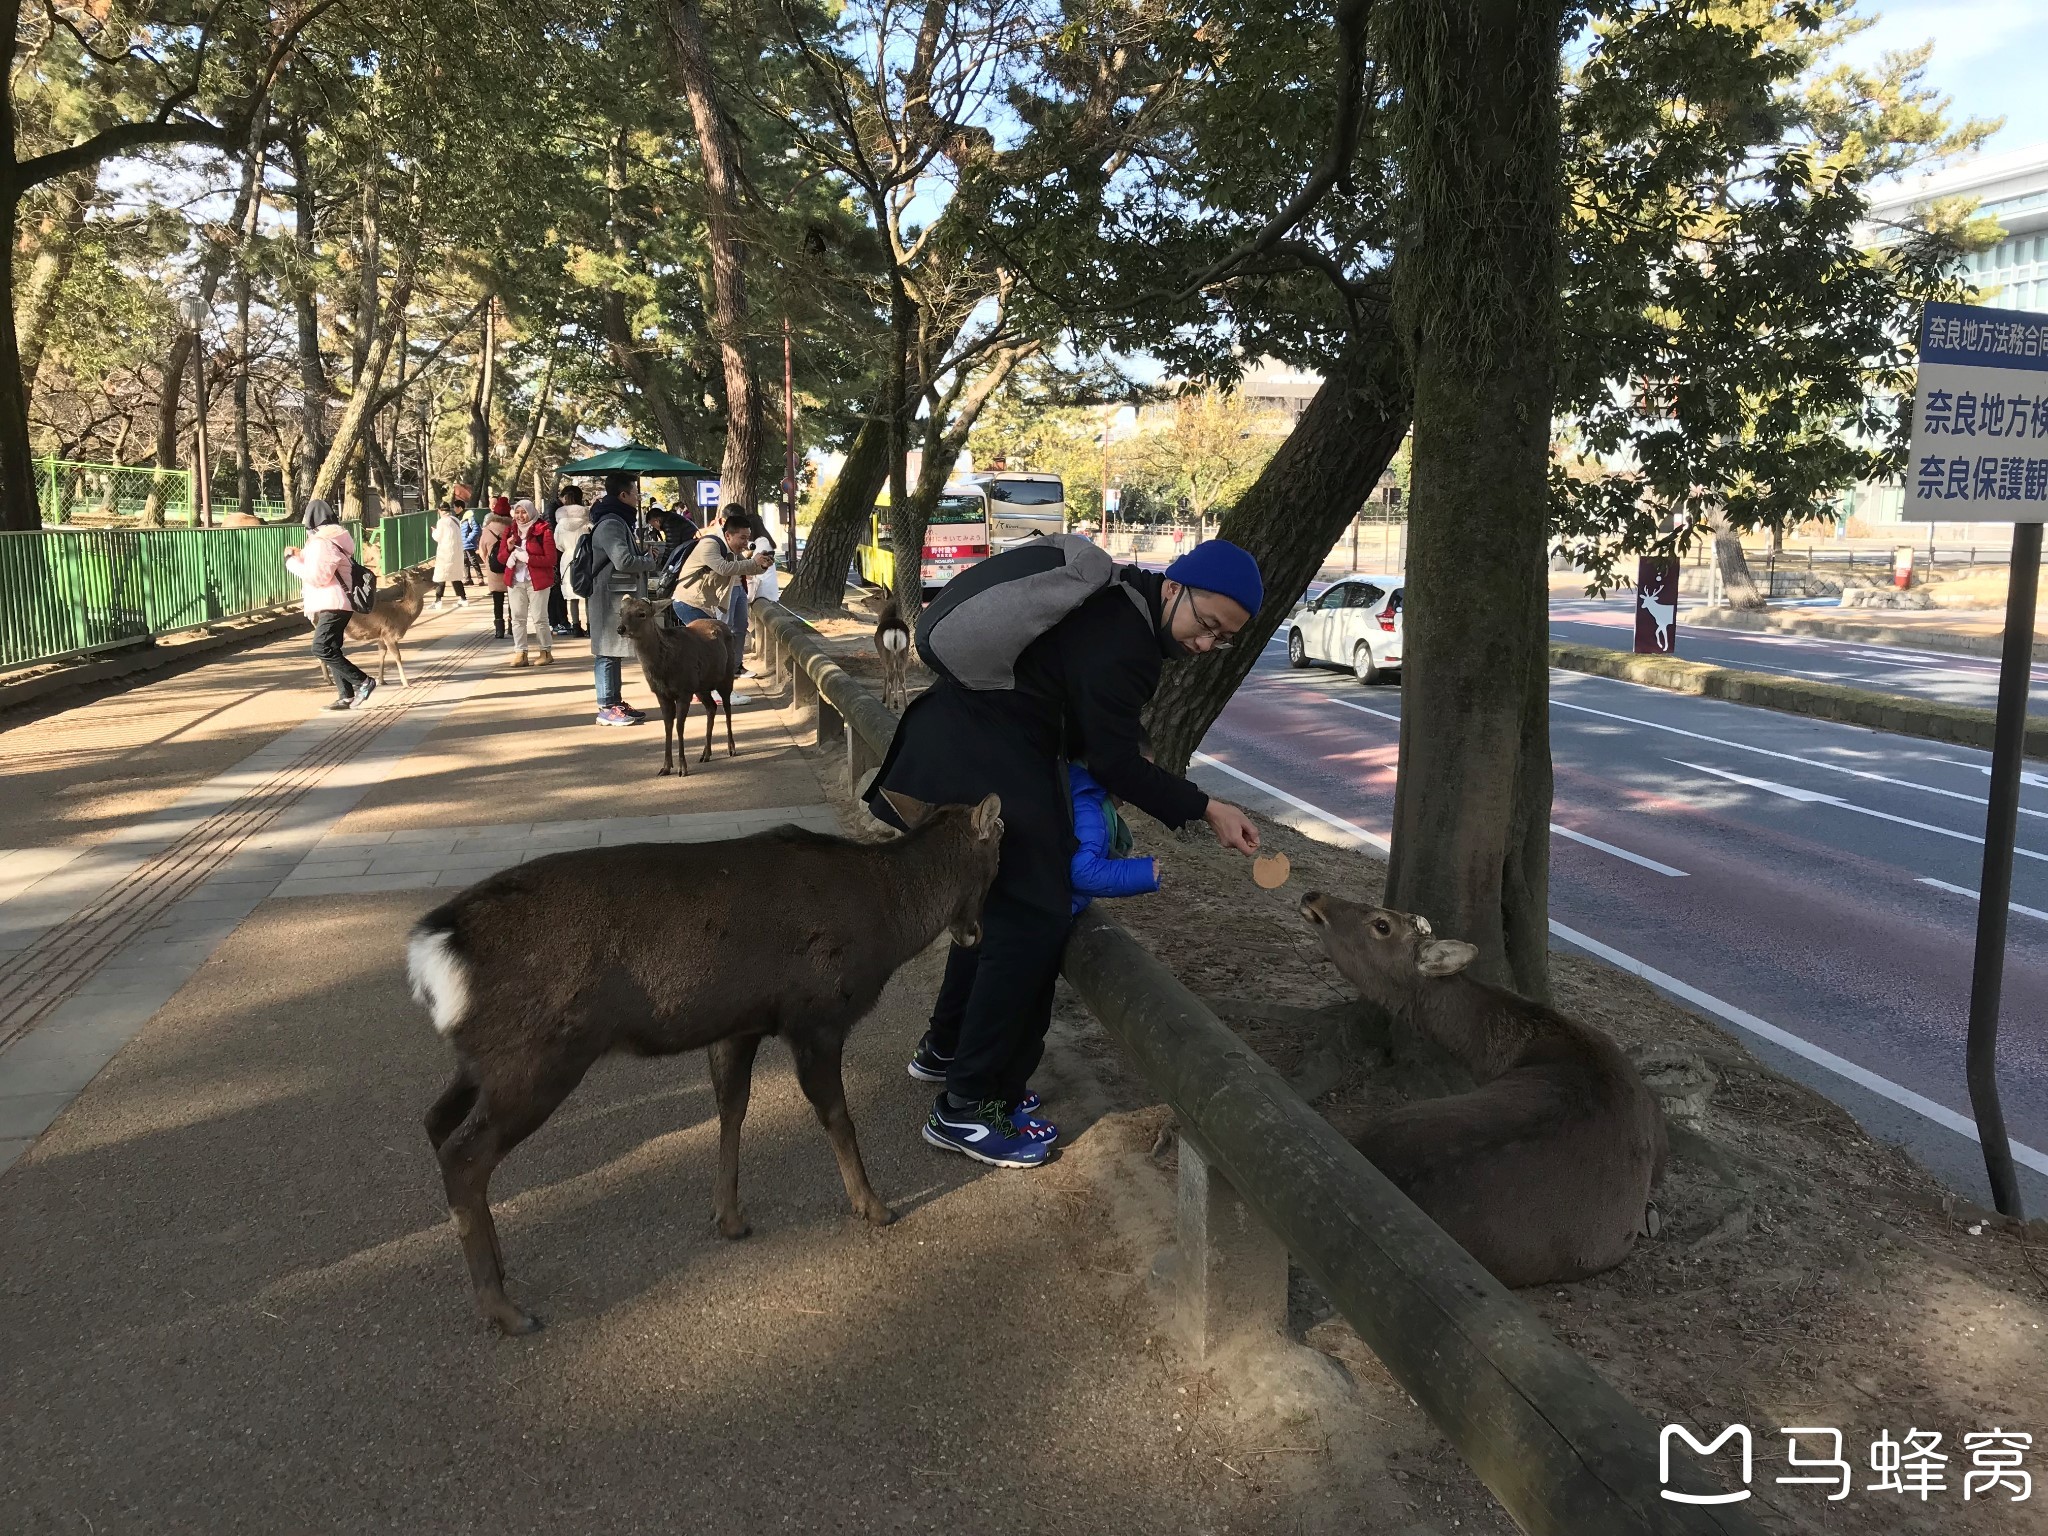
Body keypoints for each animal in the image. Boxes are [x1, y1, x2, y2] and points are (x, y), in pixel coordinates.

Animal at [409, 794, 1007, 1335]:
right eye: (998, 855)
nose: (975, 933)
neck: (883, 924)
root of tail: (432, 950)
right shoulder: (815, 1014)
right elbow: (837, 1116)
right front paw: (874, 1205)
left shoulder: (740, 1024)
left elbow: (732, 1108)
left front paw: (730, 1217)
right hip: (540, 1055)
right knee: (464, 1154)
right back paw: (506, 1310)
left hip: (487, 1058)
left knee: (436, 1122)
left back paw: (499, 1269)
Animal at [618, 593, 741, 774]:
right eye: (621, 612)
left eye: (642, 613)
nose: (621, 629)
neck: (664, 671)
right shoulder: (661, 693)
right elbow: (667, 726)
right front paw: (665, 767)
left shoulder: (684, 690)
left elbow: (679, 726)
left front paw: (682, 768)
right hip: (701, 687)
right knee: (712, 707)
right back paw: (705, 754)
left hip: (726, 676)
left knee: (727, 708)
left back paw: (731, 748)